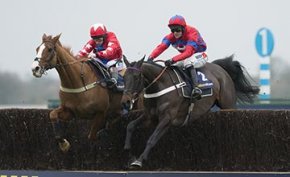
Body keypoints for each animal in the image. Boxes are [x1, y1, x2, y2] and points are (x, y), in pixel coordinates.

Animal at [121, 55, 260, 167]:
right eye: (124, 77)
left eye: (136, 77)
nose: (126, 102)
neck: (160, 86)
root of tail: (221, 69)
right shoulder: (150, 116)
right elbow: (130, 126)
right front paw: (128, 151)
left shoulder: (167, 118)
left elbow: (152, 139)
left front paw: (139, 160)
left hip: (228, 105)